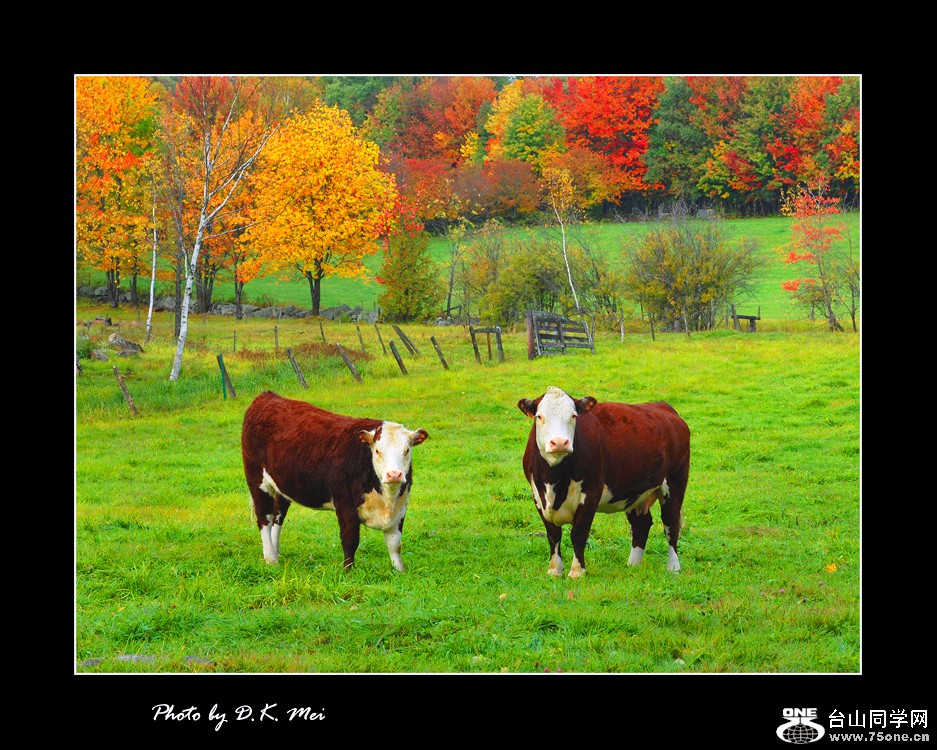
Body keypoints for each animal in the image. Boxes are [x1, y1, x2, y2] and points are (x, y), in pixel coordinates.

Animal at [241, 391, 428, 572]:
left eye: (407, 450)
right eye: (377, 451)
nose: (394, 474)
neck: (386, 499)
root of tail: (267, 396)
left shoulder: (400, 508)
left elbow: (395, 543)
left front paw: (399, 571)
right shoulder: (345, 506)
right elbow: (350, 540)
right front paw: (348, 571)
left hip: (282, 485)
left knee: (278, 515)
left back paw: (276, 552)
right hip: (256, 479)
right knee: (264, 517)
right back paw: (270, 559)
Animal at [518, 386, 690, 579]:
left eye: (573, 415)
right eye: (539, 416)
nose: (560, 442)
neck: (553, 481)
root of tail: (663, 406)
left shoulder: (590, 494)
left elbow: (578, 534)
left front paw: (577, 571)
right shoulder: (538, 497)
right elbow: (553, 535)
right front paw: (554, 570)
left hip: (675, 482)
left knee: (671, 523)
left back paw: (673, 567)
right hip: (634, 491)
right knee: (641, 524)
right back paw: (633, 565)